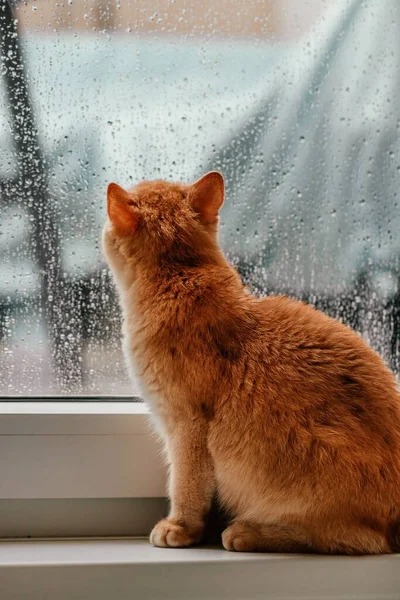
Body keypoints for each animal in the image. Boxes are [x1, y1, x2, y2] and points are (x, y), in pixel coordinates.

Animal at [103, 171, 400, 556]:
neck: (181, 276)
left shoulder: (187, 425)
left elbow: (185, 484)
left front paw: (180, 527)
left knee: (360, 539)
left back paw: (248, 532)